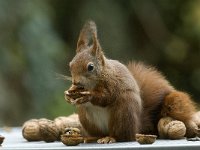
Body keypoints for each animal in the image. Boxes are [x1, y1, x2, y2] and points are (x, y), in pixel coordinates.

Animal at [65, 20, 199, 143]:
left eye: (90, 67)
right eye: (70, 65)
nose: (76, 82)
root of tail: (137, 127)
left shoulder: (113, 83)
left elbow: (106, 97)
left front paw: (88, 96)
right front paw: (68, 94)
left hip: (123, 112)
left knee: (123, 136)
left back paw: (111, 138)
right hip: (86, 119)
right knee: (99, 133)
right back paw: (93, 137)